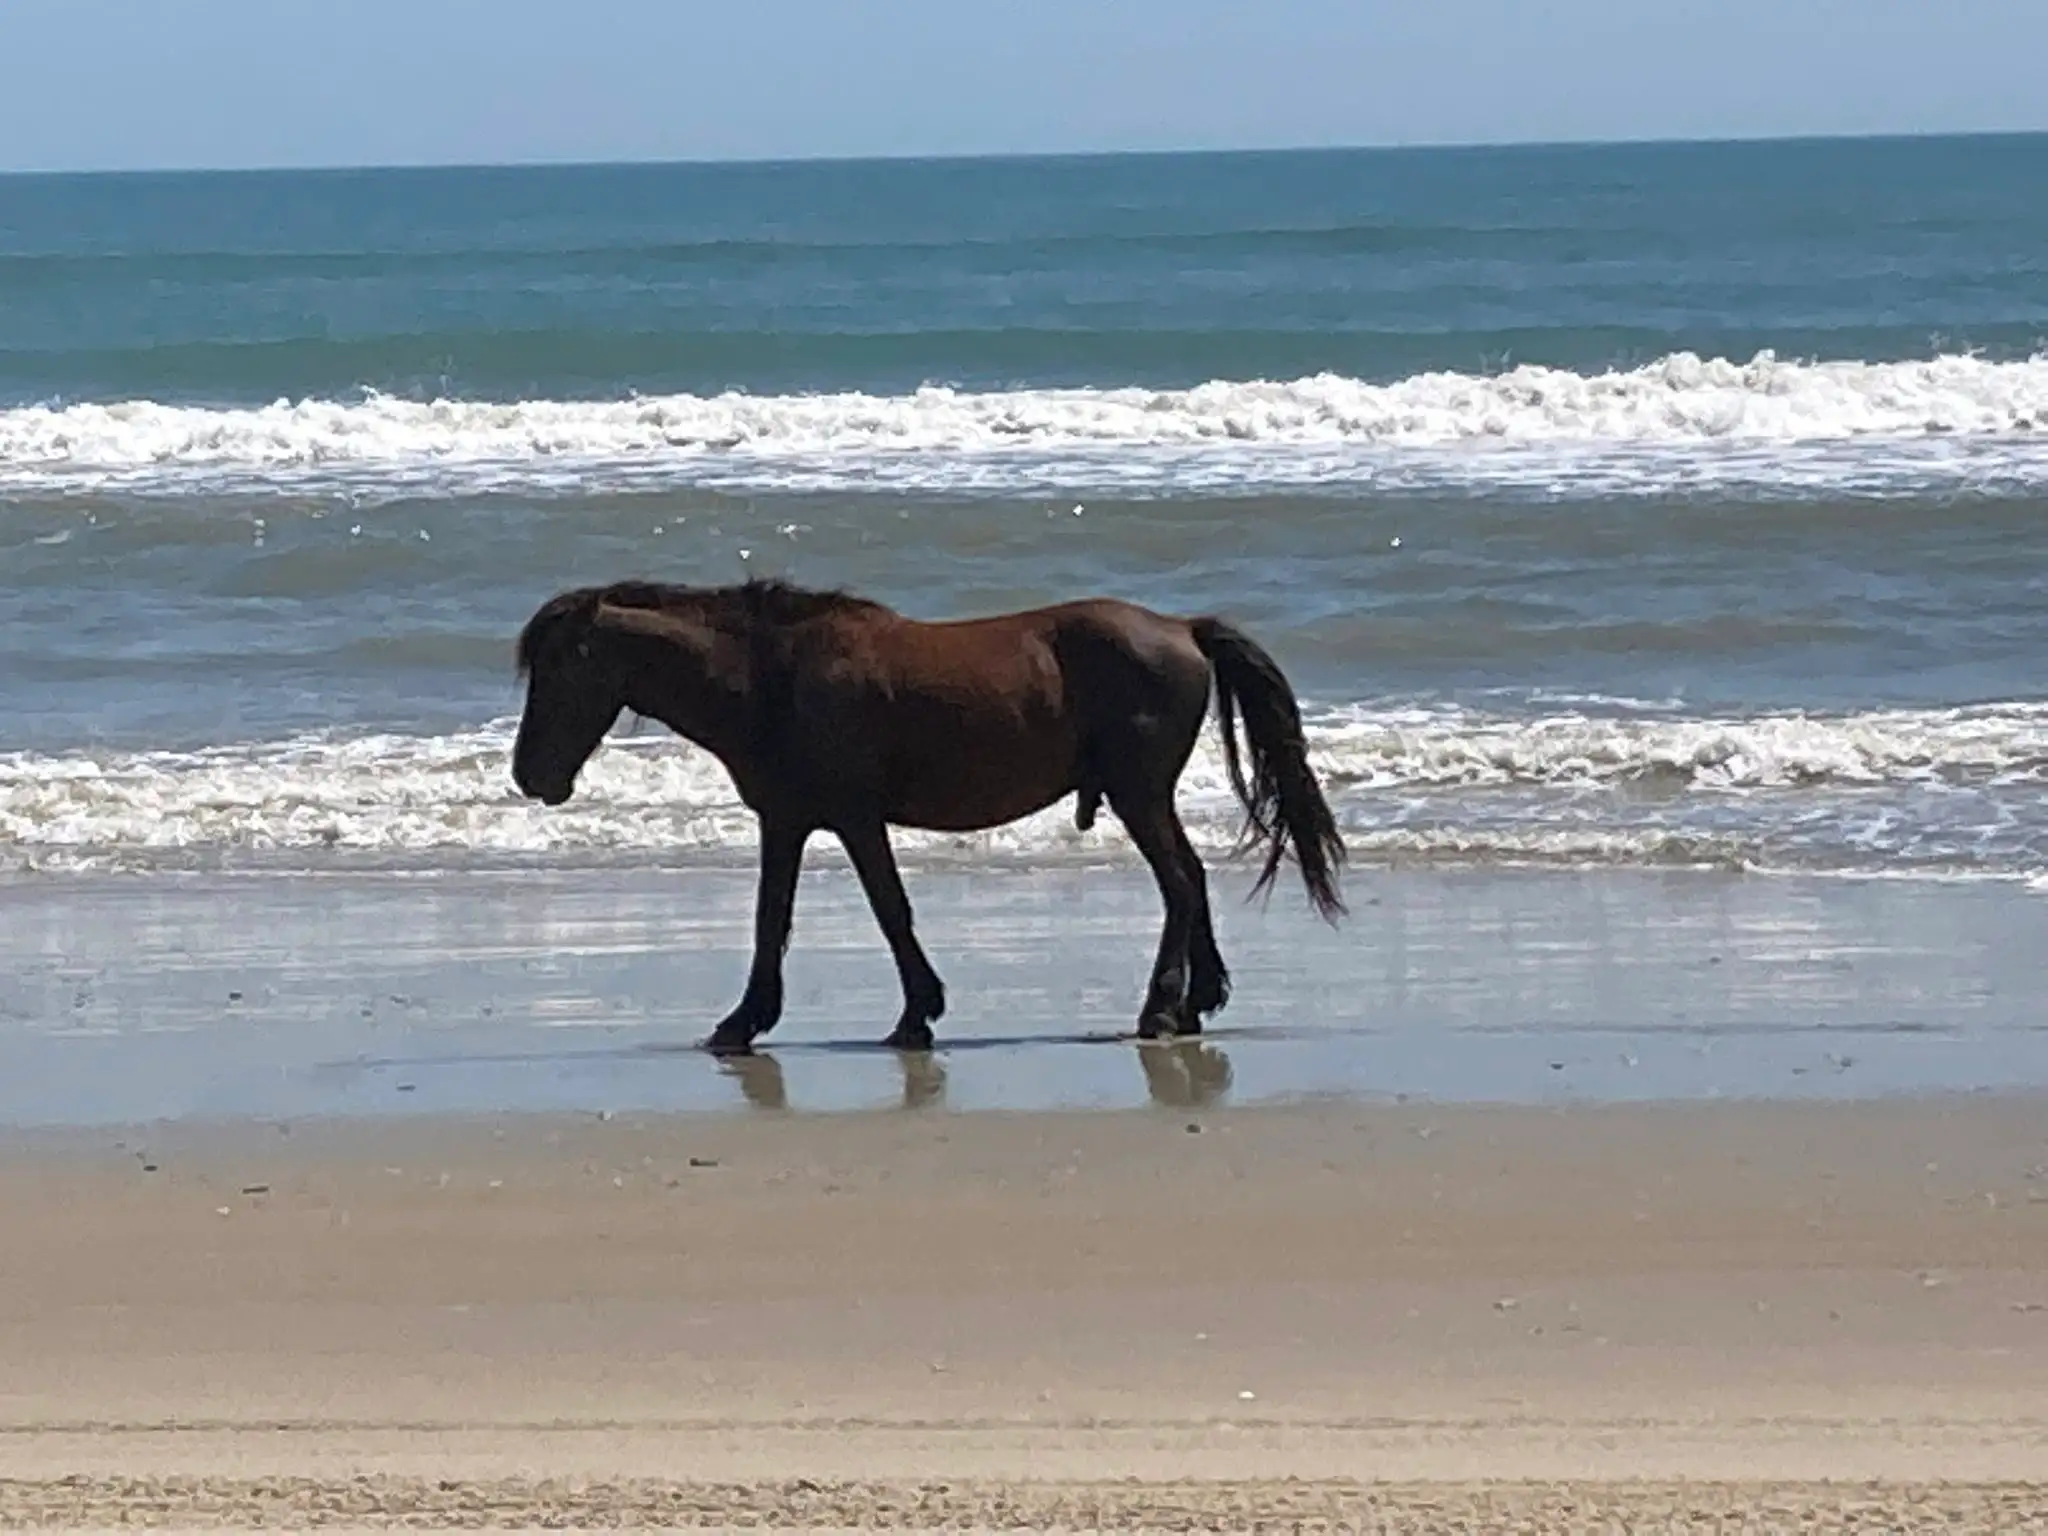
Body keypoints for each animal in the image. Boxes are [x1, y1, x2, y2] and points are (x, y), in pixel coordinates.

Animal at [511, 578, 1345, 1055]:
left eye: (558, 669)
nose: (528, 776)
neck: (771, 677)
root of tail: (1180, 626)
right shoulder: (787, 820)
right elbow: (772, 919)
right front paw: (744, 1022)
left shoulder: (852, 818)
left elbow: (889, 910)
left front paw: (916, 1014)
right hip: (1146, 798)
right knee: (1192, 879)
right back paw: (1195, 1002)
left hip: (1138, 795)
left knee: (1177, 882)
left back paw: (1160, 1011)